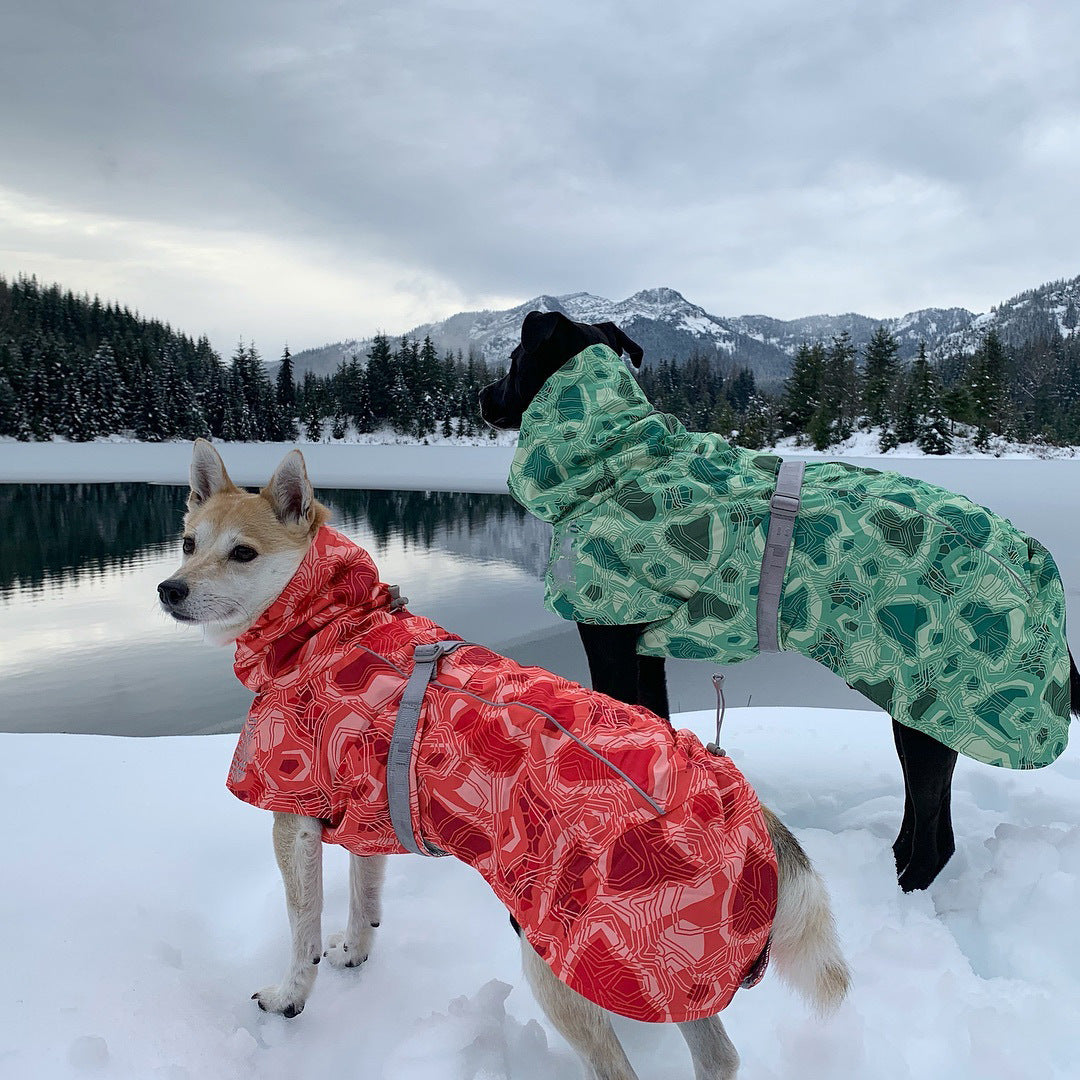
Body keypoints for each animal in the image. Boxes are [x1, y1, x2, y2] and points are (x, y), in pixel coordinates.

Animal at [157, 436, 851, 1080]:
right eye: (188, 542)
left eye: (243, 553)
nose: (168, 589)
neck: (327, 627)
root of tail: (755, 813)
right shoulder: (363, 811)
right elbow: (364, 896)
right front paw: (355, 951)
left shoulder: (291, 814)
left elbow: (302, 929)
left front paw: (290, 997)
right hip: (669, 976)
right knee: (719, 1058)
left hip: (564, 961)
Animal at [483, 308, 1080, 889]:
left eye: (512, 359)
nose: (483, 397)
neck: (618, 458)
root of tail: (1034, 557)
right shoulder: (643, 647)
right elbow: (656, 724)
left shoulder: (605, 632)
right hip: (922, 717)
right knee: (932, 822)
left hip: (933, 709)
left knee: (935, 842)